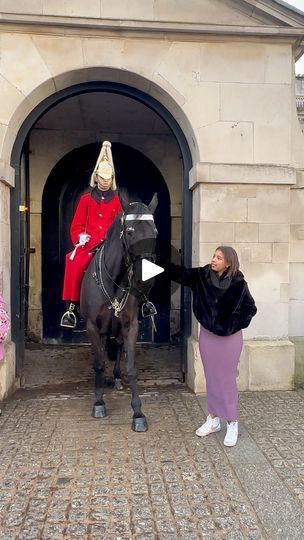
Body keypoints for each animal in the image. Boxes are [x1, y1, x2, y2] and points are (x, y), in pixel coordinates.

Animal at [79, 192, 158, 432]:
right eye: (130, 232)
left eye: (155, 232)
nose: (146, 280)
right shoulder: (92, 327)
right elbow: (98, 364)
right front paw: (98, 402)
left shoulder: (130, 325)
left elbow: (131, 367)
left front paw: (138, 413)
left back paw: (114, 378)